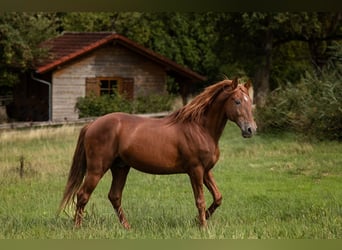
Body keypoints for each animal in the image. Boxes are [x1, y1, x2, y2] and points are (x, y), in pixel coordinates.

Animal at [58, 77, 256, 229]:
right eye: (237, 101)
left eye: (250, 103)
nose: (251, 129)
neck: (200, 128)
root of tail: (92, 124)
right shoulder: (196, 170)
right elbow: (200, 200)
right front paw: (203, 227)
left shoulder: (206, 170)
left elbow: (218, 197)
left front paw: (198, 221)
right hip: (97, 169)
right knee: (83, 195)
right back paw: (78, 228)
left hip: (120, 168)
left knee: (114, 196)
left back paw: (128, 228)